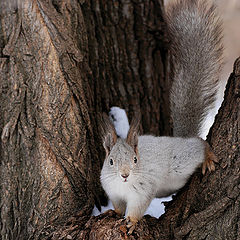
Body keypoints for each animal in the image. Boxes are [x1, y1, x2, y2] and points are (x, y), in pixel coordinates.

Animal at [100, 0, 223, 231]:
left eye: (135, 159)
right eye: (110, 161)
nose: (124, 175)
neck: (123, 186)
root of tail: (181, 139)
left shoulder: (142, 190)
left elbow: (137, 208)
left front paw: (131, 222)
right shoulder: (114, 192)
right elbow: (118, 206)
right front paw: (113, 213)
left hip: (182, 161)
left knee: (199, 144)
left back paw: (207, 157)